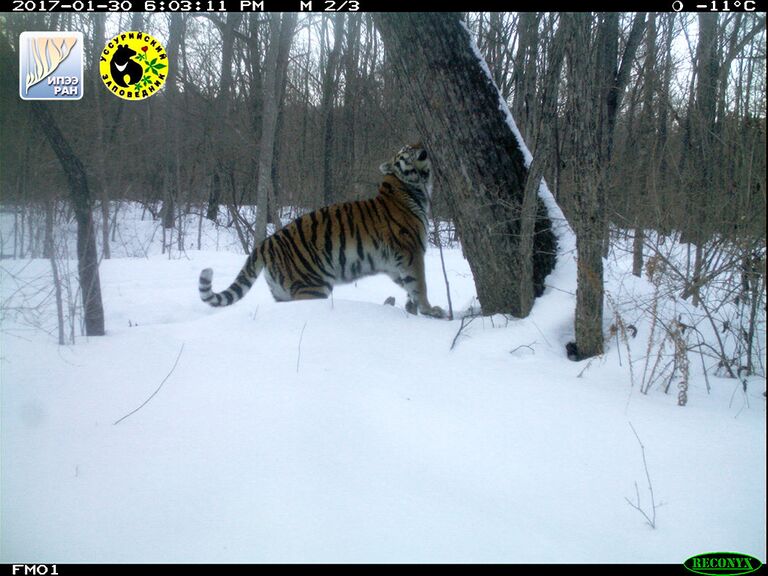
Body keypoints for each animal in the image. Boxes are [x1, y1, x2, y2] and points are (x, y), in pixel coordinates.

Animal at [200, 142, 444, 318]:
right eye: (406, 150)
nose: (421, 144)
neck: (413, 189)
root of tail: (266, 242)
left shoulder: (395, 264)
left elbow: (408, 286)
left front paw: (412, 309)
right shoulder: (411, 252)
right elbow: (420, 284)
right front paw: (430, 310)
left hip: (282, 291)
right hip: (312, 287)